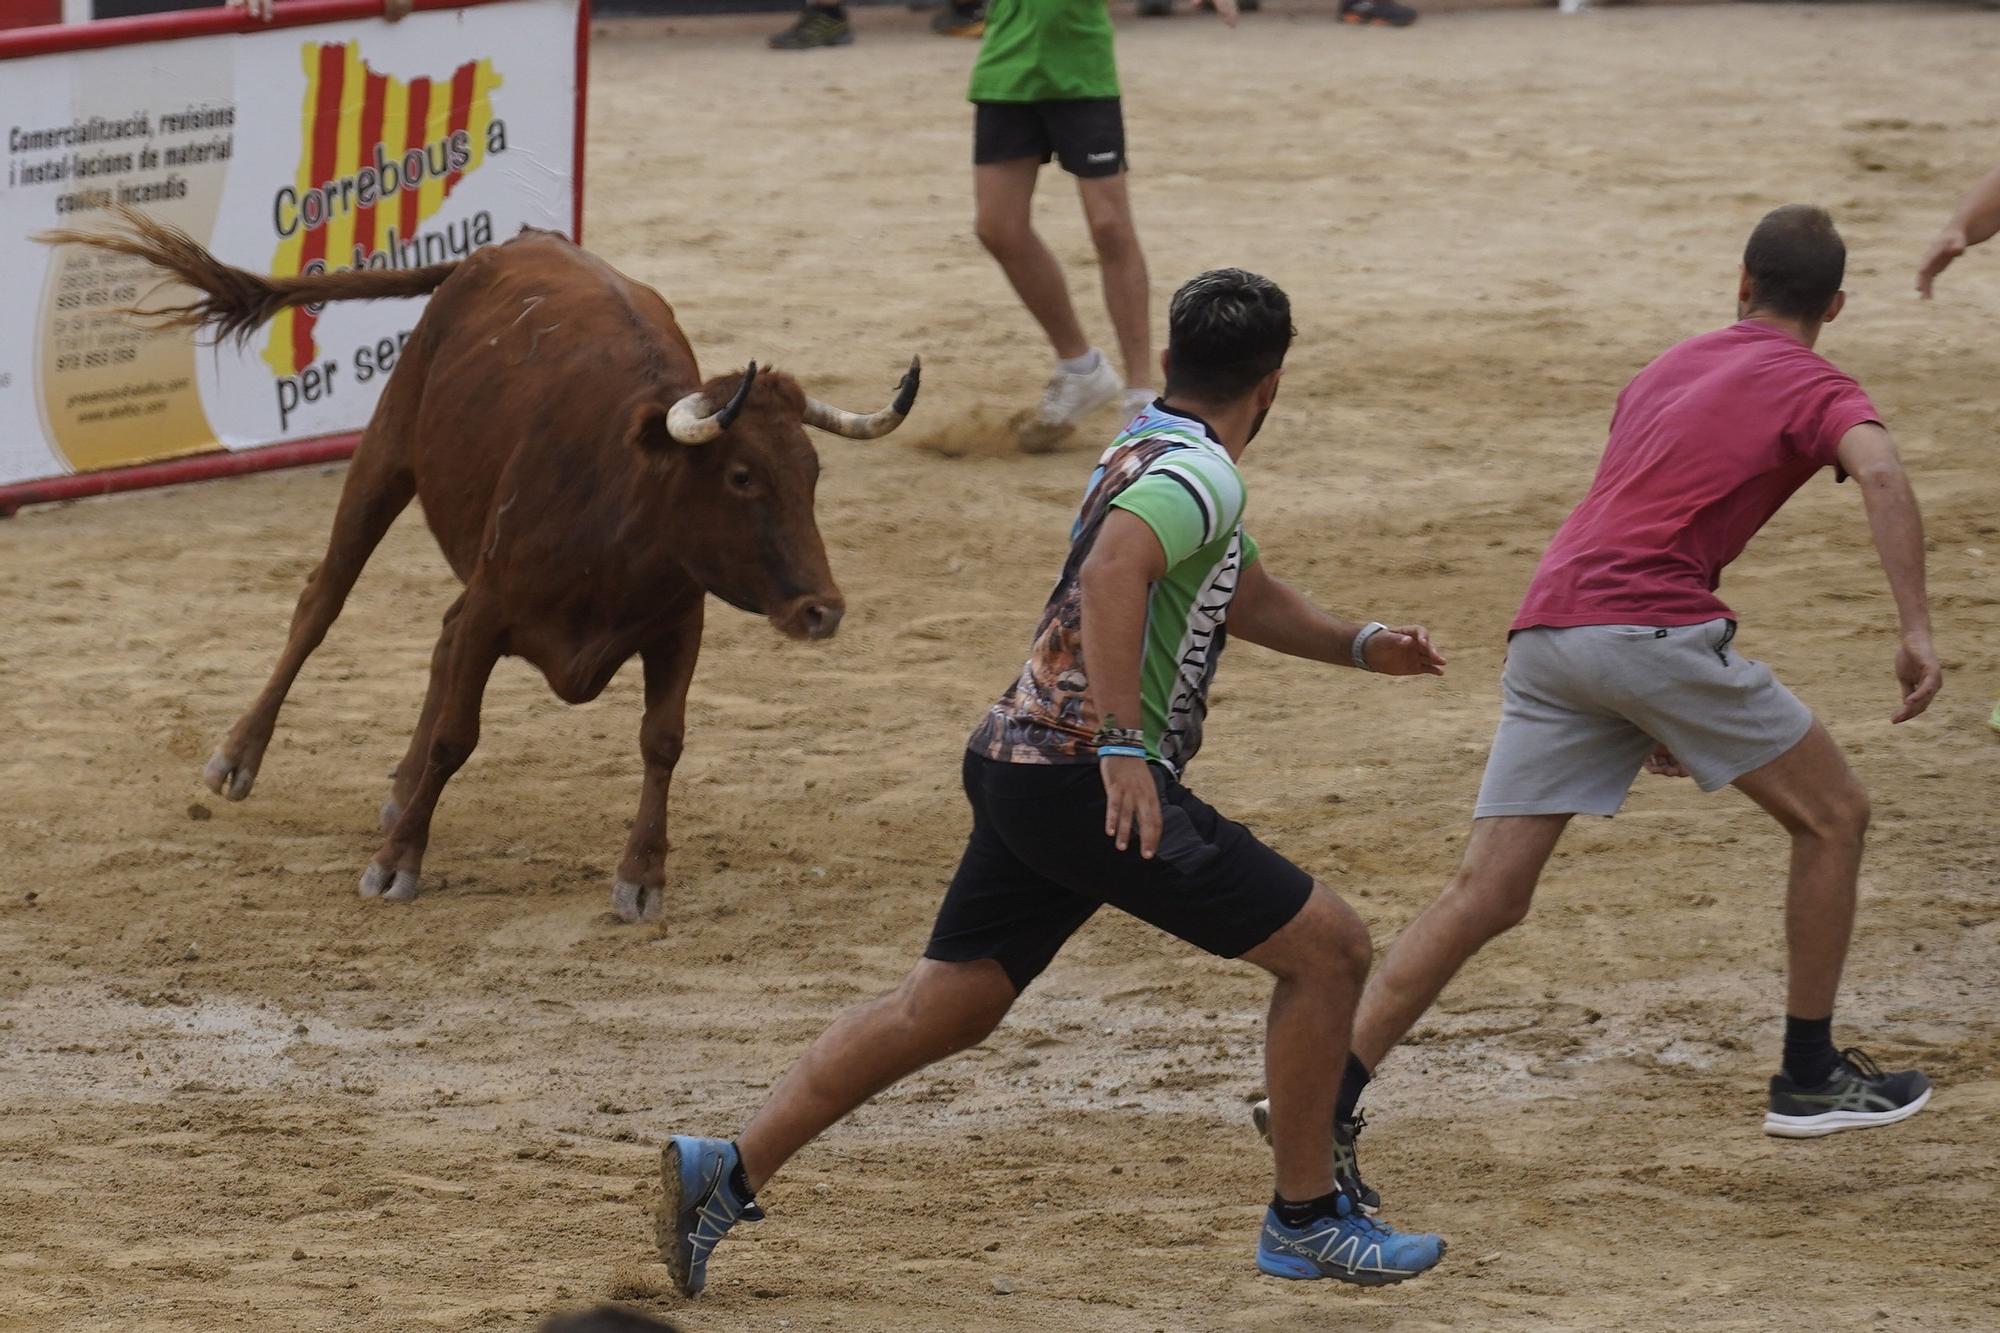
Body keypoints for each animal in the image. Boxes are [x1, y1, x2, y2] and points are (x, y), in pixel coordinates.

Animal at [45, 215, 920, 924]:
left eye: (812, 472)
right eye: (741, 476)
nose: (823, 609)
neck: (622, 512)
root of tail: (513, 243)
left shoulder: (679, 625)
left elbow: (662, 741)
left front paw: (642, 877)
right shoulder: (496, 606)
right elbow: (456, 736)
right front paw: (396, 863)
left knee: (437, 631)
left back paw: (397, 788)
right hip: (385, 451)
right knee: (322, 602)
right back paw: (239, 758)